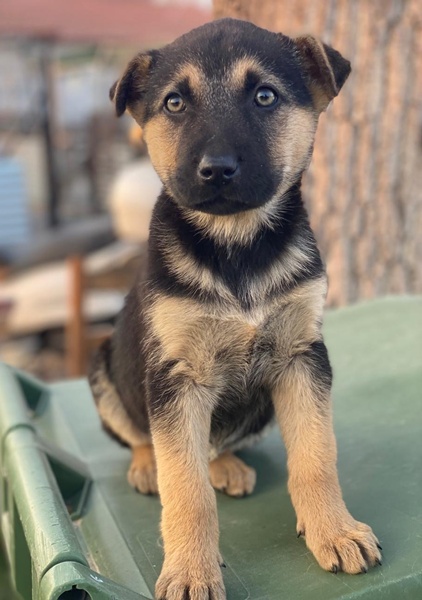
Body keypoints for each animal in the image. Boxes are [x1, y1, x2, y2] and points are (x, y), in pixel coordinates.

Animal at [89, 18, 381, 600]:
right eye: (175, 103)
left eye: (265, 96)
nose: (216, 170)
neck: (236, 244)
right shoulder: (176, 377)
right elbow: (186, 489)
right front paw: (189, 570)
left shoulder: (302, 358)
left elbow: (316, 456)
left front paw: (335, 531)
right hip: (103, 368)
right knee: (144, 440)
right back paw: (146, 466)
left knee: (213, 447)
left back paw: (225, 465)